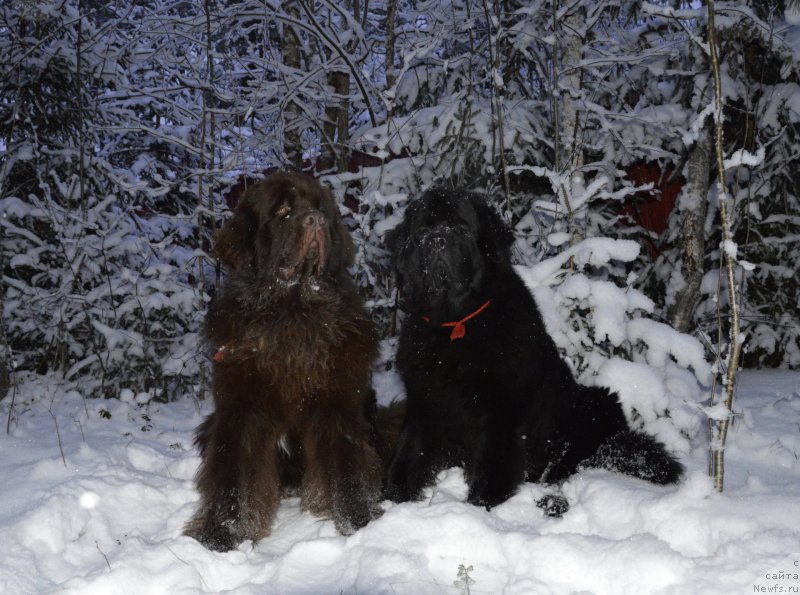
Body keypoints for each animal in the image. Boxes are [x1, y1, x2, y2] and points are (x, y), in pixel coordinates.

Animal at [188, 170, 388, 552]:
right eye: (282, 210)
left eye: (321, 208)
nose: (316, 221)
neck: (292, 313)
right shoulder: (240, 409)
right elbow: (232, 478)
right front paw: (219, 536)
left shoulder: (338, 403)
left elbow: (348, 467)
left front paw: (359, 524)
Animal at [384, 189, 684, 516]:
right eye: (423, 231)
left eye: (459, 228)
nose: (437, 240)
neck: (454, 323)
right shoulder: (425, 404)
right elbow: (406, 458)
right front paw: (390, 504)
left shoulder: (500, 412)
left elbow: (493, 466)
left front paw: (481, 506)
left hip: (596, 403)